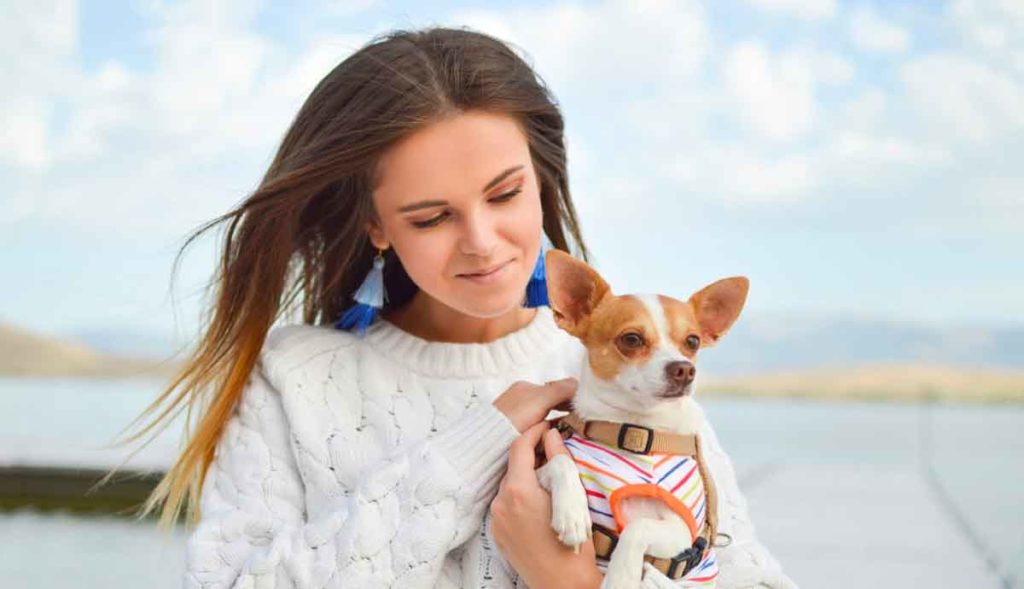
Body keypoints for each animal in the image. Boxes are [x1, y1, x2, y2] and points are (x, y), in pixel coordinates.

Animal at [536, 249, 753, 589]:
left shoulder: (682, 532)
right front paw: (571, 512)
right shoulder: (538, 469)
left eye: (692, 342)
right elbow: (561, 462)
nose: (684, 369)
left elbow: (639, 528)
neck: (637, 430)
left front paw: (620, 577)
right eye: (632, 339)